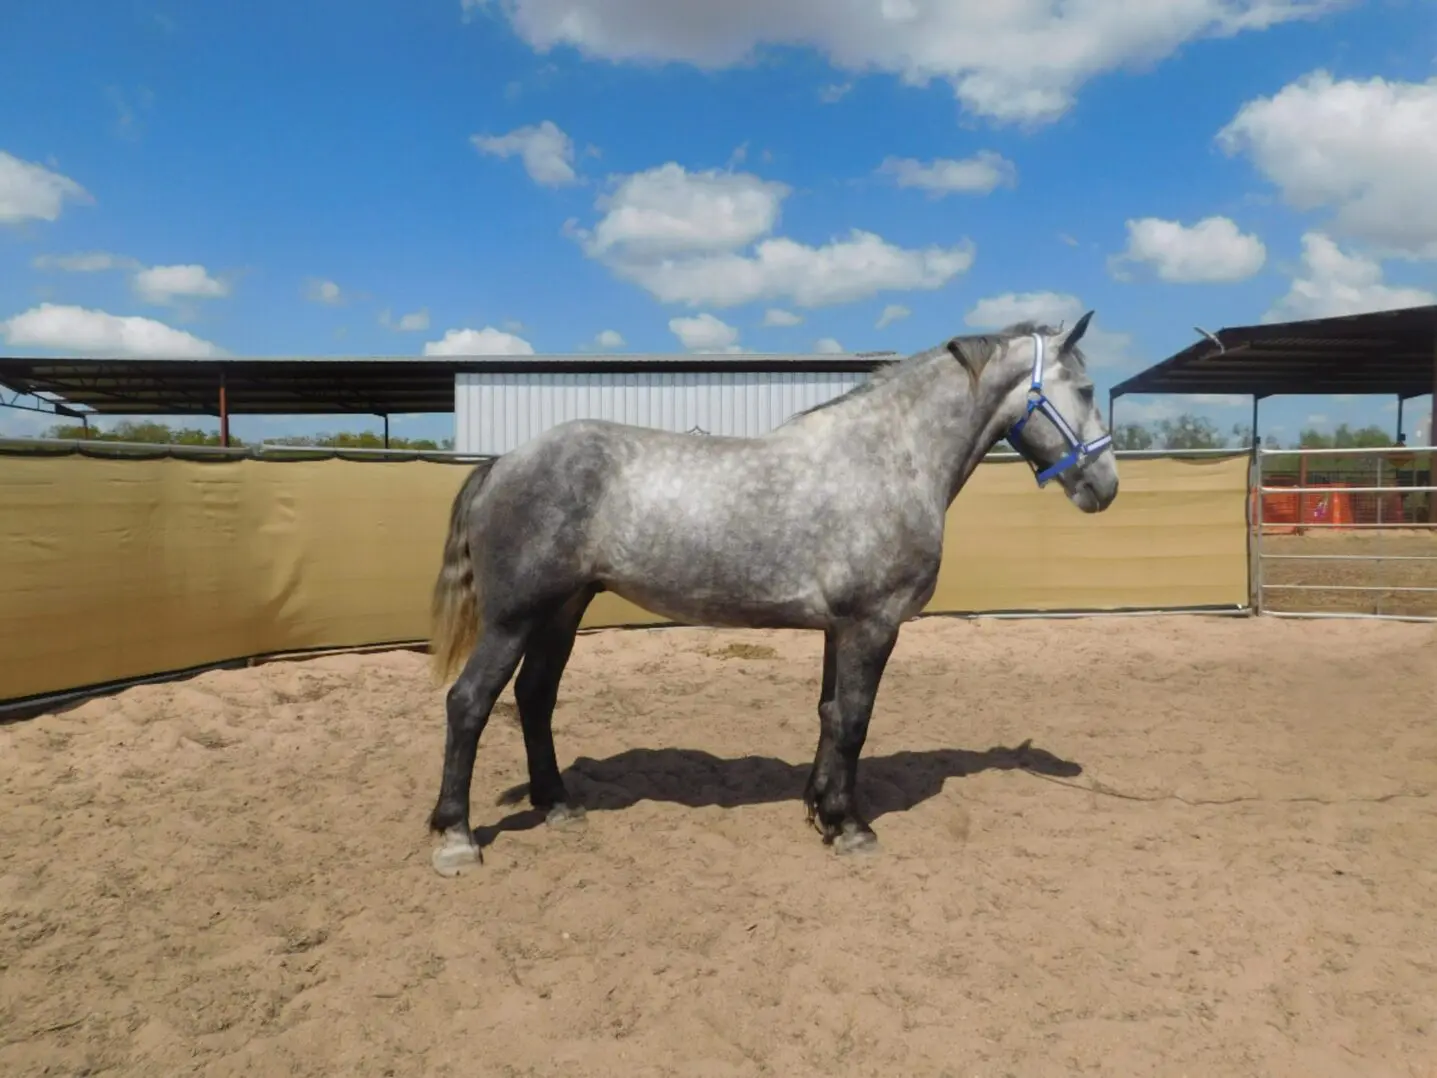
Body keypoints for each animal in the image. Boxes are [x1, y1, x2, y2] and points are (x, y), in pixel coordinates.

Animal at [425, 314, 1118, 876]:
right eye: (1085, 390)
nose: (1106, 486)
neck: (889, 459)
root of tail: (504, 461)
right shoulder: (873, 624)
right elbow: (855, 721)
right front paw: (850, 826)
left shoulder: (840, 628)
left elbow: (830, 714)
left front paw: (820, 809)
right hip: (515, 618)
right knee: (470, 703)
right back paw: (456, 838)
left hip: (563, 609)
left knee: (534, 698)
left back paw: (559, 805)